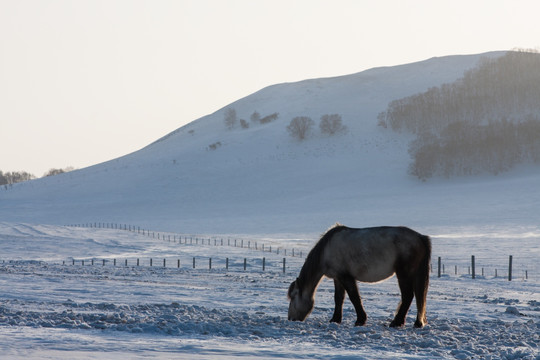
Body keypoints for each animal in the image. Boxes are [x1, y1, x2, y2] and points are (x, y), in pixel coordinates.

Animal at [288, 225, 432, 330]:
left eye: (293, 296)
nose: (290, 319)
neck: (326, 250)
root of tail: (421, 237)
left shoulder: (346, 277)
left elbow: (354, 297)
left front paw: (360, 320)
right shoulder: (337, 278)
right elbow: (338, 298)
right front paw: (335, 319)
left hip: (403, 274)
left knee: (408, 296)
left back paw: (396, 322)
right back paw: (417, 322)